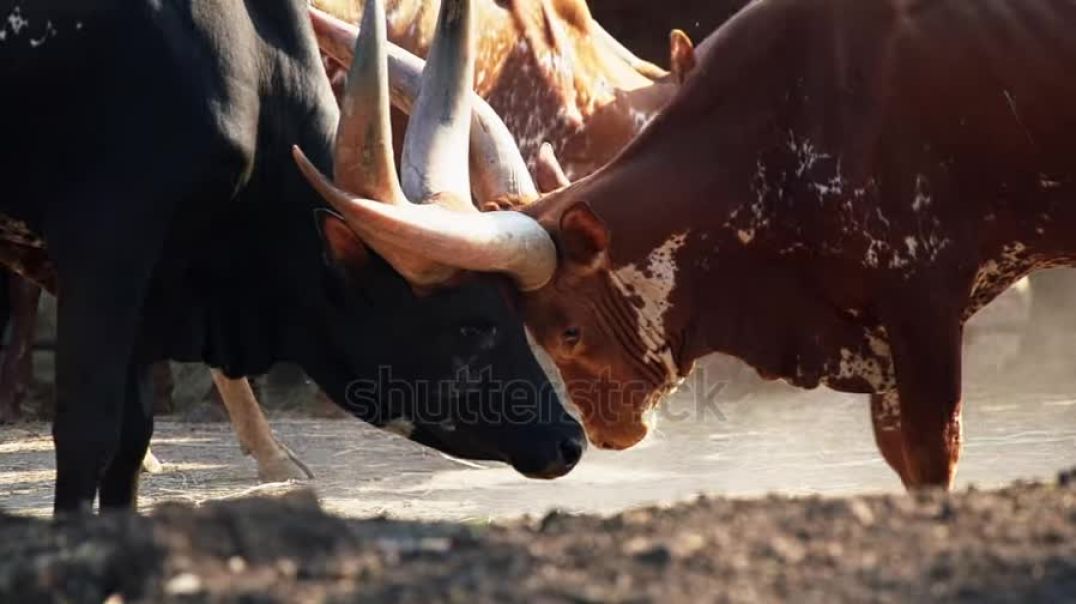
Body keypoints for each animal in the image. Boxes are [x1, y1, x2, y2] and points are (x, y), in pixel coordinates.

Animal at [0, 0, 581, 510]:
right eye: (472, 324)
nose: (569, 440)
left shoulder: (151, 288)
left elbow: (131, 437)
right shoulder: (106, 250)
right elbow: (89, 432)